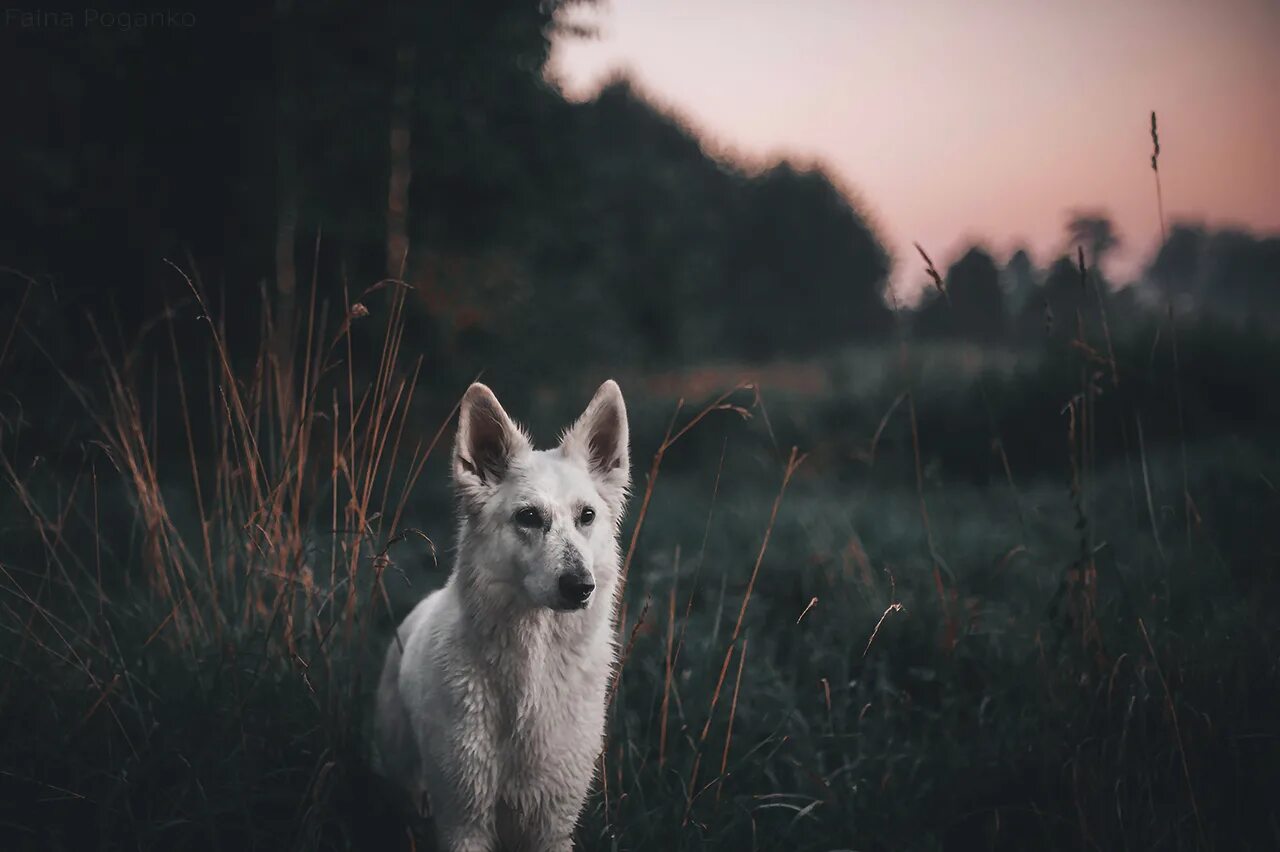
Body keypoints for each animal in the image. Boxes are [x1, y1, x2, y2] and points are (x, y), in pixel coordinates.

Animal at [373, 378, 632, 849]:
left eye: (586, 516)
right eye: (528, 517)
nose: (581, 587)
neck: (532, 672)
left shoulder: (554, 824)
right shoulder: (463, 820)